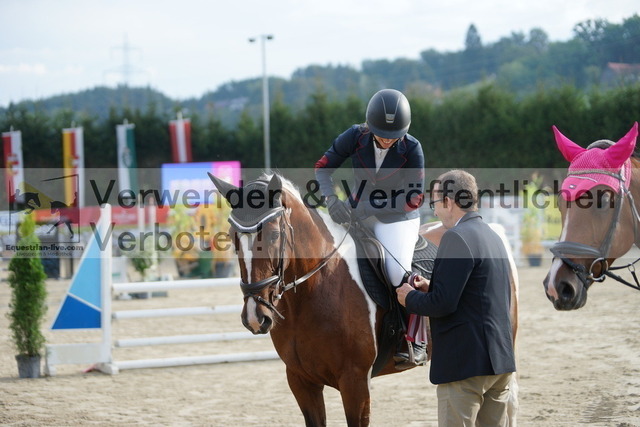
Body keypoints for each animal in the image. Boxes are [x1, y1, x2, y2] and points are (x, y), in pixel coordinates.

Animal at [210, 174, 520, 427]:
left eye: (274, 234)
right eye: (233, 238)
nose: (255, 317)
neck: (313, 292)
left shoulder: (355, 382)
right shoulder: (301, 381)